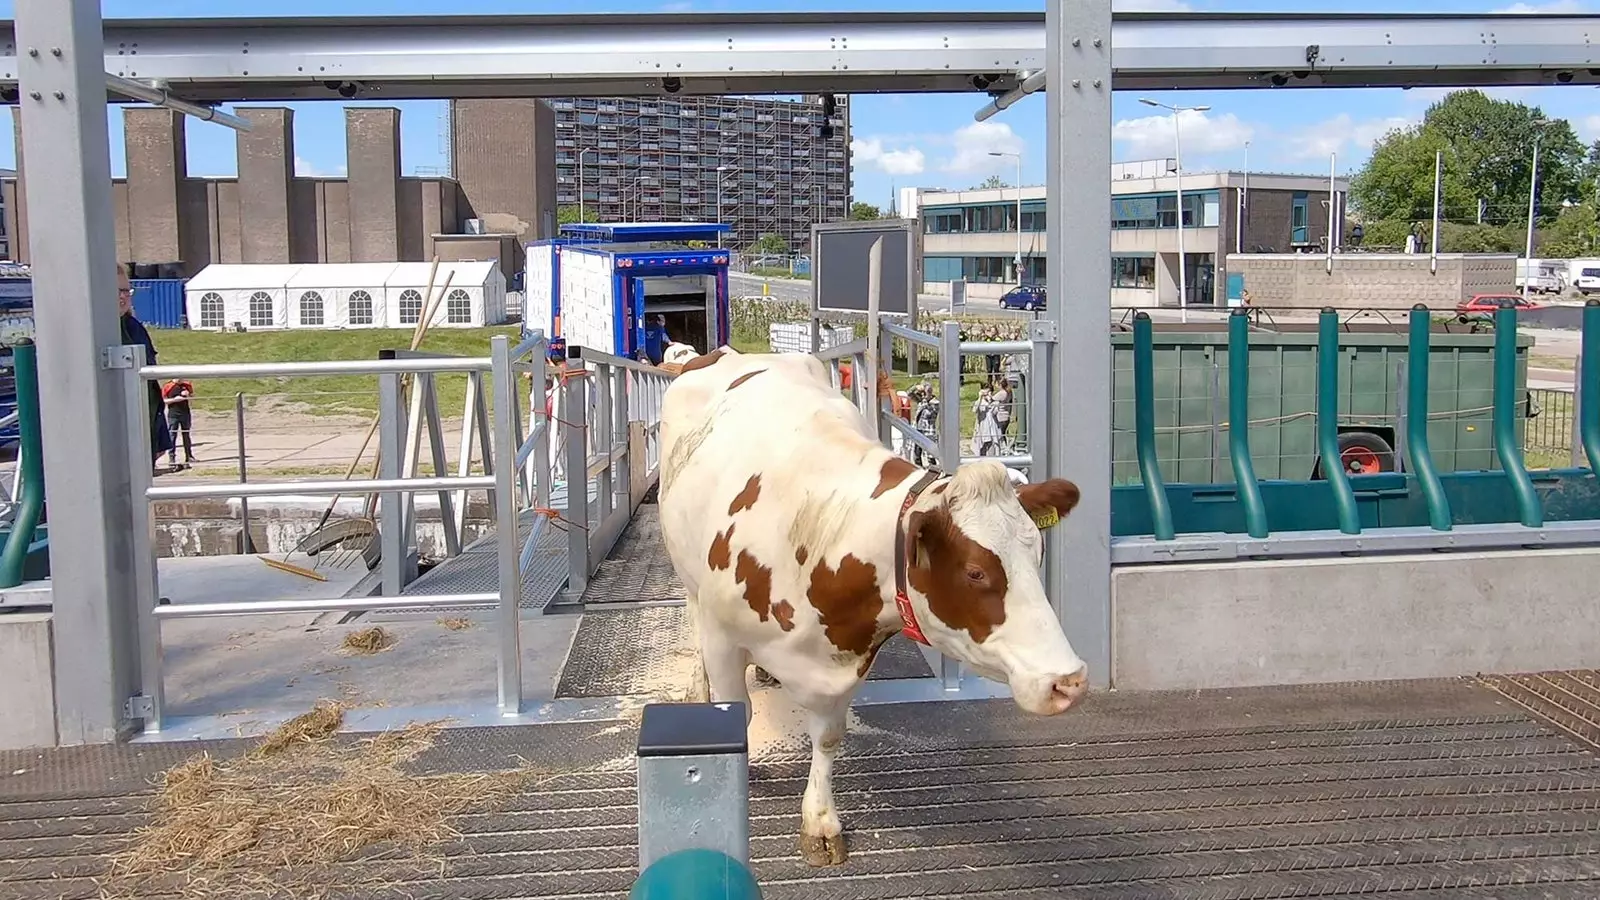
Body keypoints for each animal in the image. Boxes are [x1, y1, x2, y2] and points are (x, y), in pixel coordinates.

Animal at [659, 342, 1088, 864]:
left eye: (1038, 552)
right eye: (975, 571)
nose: (1069, 681)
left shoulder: (849, 656)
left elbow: (827, 737)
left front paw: (820, 821)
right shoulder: (724, 640)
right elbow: (734, 716)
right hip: (684, 568)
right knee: (691, 612)